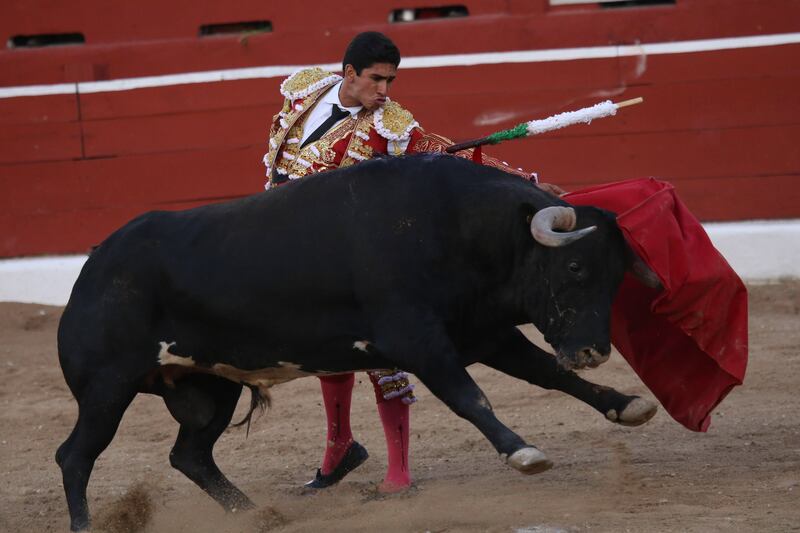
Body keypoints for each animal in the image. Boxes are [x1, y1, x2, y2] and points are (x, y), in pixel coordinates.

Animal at [56, 152, 656, 528]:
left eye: (617, 276)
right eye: (574, 267)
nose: (594, 352)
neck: (453, 227)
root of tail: (93, 268)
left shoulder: (484, 333)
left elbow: (548, 374)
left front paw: (628, 404)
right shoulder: (417, 338)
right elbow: (470, 397)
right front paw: (523, 452)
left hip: (208, 387)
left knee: (191, 455)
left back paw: (256, 516)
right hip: (108, 387)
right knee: (76, 456)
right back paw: (86, 526)